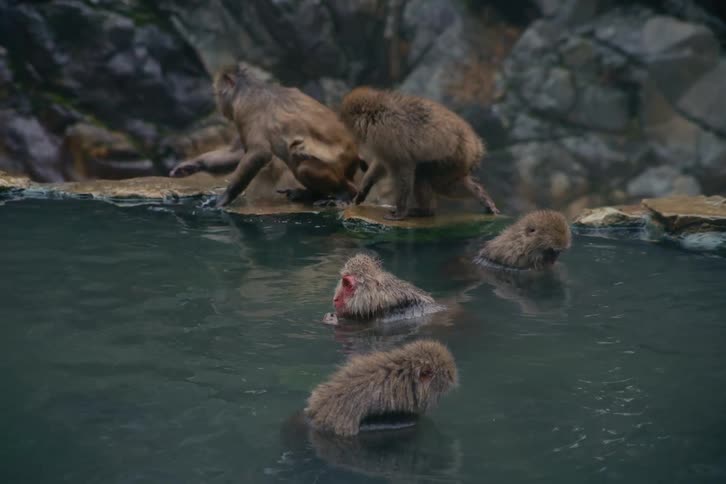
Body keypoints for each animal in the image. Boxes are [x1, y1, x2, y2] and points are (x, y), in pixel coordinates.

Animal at [169, 64, 361, 208]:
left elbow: (258, 154)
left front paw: (224, 198)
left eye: (218, 93)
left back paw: (344, 195)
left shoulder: (246, 112)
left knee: (303, 165)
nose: (220, 105)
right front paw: (190, 166)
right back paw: (310, 195)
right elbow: (236, 153)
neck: (248, 89)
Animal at [339, 86, 500, 220]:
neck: (376, 114)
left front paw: (400, 211)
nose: (344, 128)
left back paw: (426, 211)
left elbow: (403, 167)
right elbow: (382, 164)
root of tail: (476, 144)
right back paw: (479, 194)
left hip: (457, 156)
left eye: (346, 121)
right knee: (440, 182)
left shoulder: (384, 133)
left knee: (430, 179)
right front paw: (364, 189)